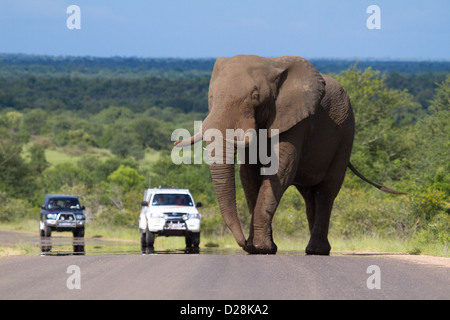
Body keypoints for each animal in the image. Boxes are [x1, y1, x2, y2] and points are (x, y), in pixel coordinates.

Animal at [174, 54, 402, 255]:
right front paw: (259, 247)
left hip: (346, 135)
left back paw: (317, 251)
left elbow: (280, 171)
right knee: (310, 195)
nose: (243, 243)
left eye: (256, 97)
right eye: (211, 97)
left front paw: (261, 248)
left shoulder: (296, 120)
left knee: (327, 191)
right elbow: (248, 174)